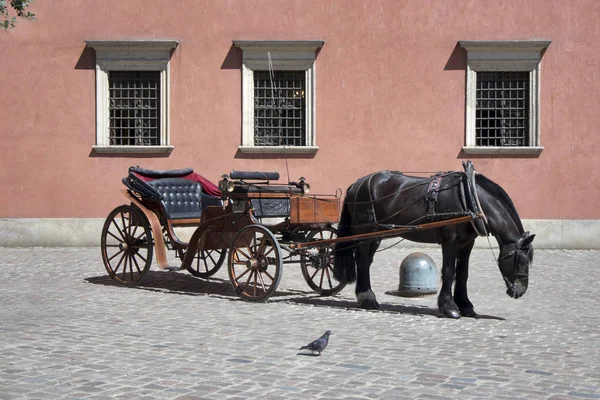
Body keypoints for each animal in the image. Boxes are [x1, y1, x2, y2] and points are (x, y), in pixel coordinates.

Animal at [332, 162, 536, 318]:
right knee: (362, 261)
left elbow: (463, 273)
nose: (520, 291)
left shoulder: (467, 243)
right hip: (365, 230)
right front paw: (449, 307)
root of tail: (356, 184)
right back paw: (367, 297)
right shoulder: (451, 240)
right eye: (520, 261)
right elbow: (449, 271)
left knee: (365, 260)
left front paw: (466, 305)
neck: (468, 197)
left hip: (375, 234)